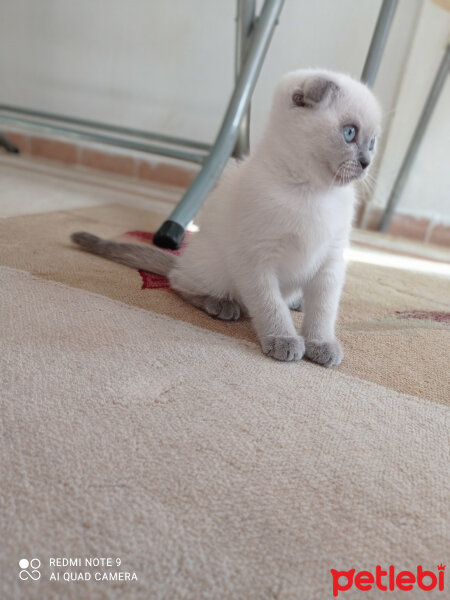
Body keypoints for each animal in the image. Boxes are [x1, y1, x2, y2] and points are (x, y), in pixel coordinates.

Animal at [72, 69, 382, 366]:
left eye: (372, 143)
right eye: (350, 133)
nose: (366, 162)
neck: (313, 192)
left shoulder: (331, 260)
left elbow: (323, 312)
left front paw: (321, 345)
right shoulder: (258, 259)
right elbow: (270, 307)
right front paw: (283, 340)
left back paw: (295, 302)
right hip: (216, 270)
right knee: (179, 281)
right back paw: (221, 304)